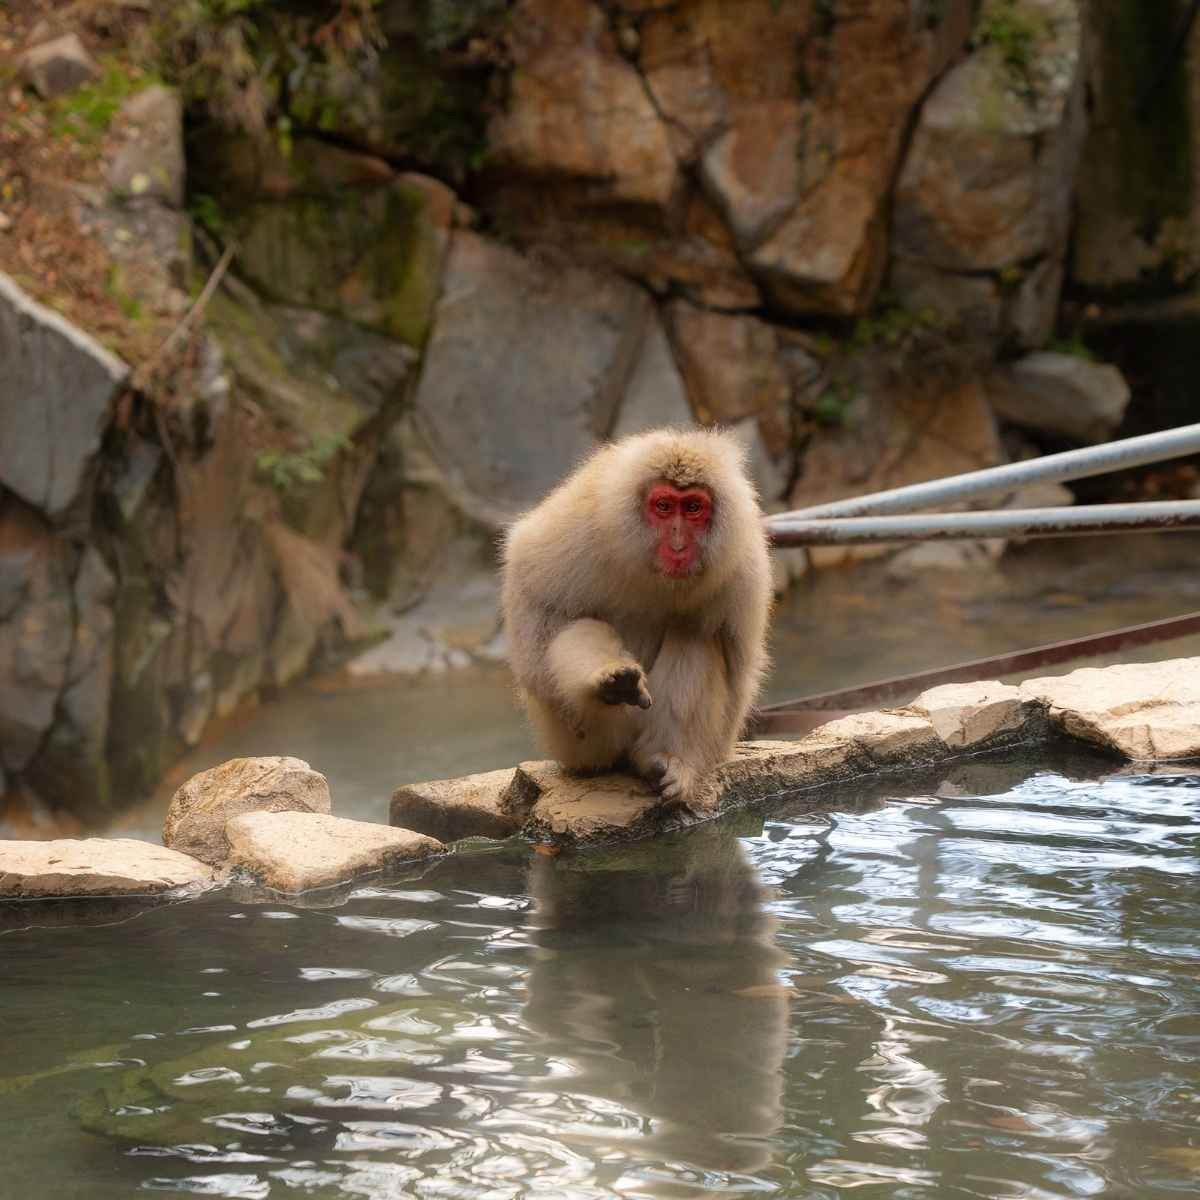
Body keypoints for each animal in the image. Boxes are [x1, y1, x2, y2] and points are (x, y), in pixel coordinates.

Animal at [501, 427, 772, 813]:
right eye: (663, 506)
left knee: (693, 633)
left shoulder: (744, 568)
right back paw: (611, 682)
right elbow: (531, 583)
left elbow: (738, 675)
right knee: (579, 631)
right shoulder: (585, 525)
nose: (678, 544)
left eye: (693, 508)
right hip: (583, 746)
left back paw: (663, 761)